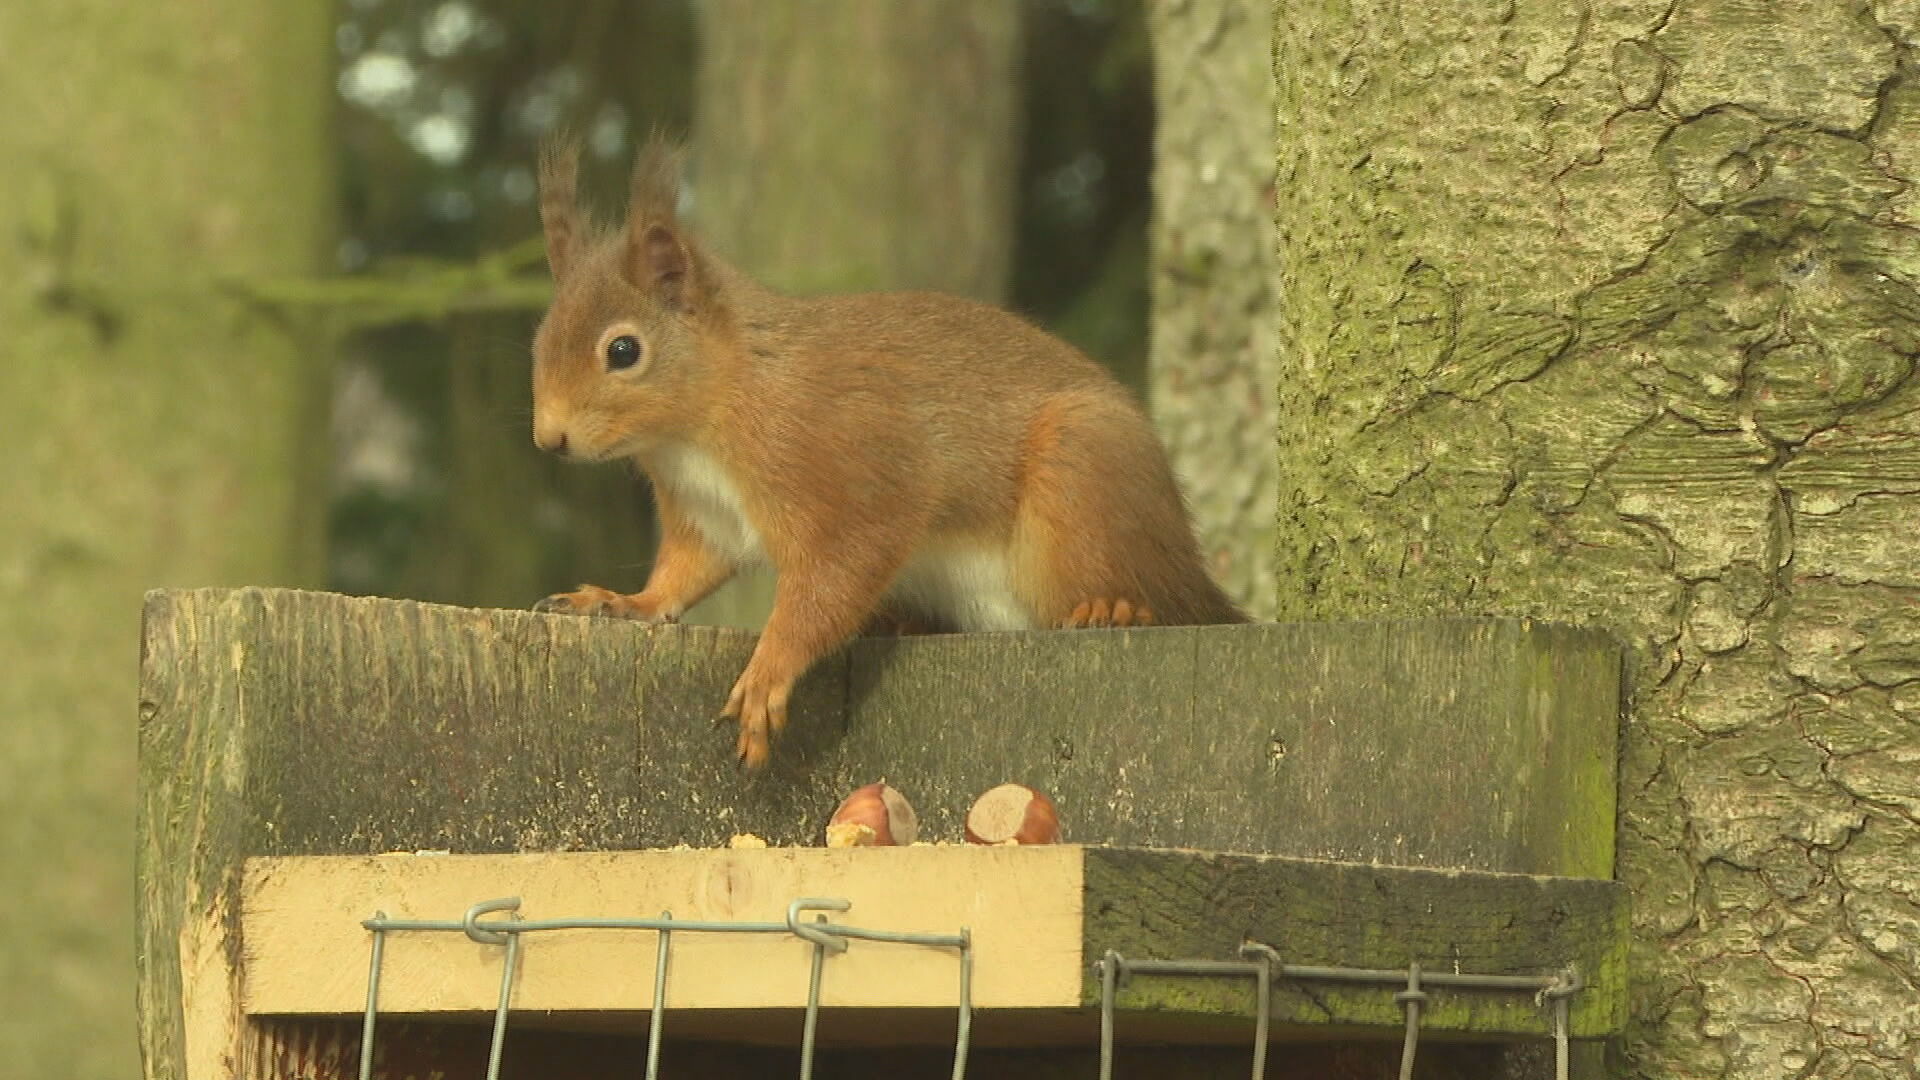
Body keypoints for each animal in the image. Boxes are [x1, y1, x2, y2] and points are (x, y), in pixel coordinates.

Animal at [529, 136, 1244, 764]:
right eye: (537, 340)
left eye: (624, 351)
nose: (548, 438)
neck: (702, 429)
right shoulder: (707, 516)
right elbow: (684, 573)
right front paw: (623, 602)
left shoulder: (852, 470)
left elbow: (834, 579)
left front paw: (769, 669)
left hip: (1083, 472)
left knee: (1155, 597)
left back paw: (1113, 607)